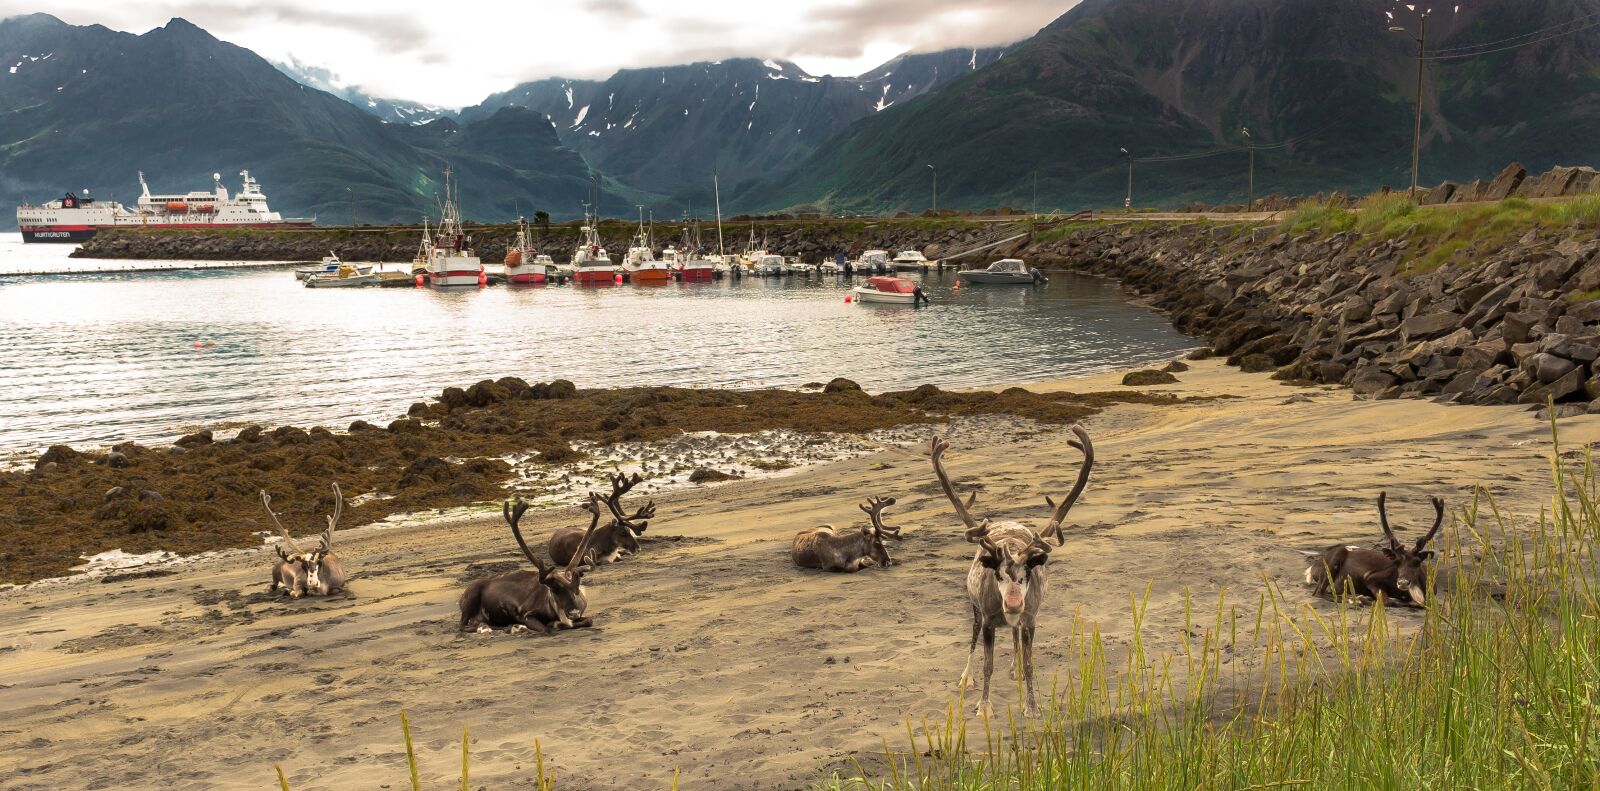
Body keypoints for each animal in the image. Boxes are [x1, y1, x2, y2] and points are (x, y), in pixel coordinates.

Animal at [459, 497, 600, 633]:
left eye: (577, 588)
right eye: (554, 590)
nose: (573, 613)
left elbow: (589, 620)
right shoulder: (526, 614)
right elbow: (545, 628)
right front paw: (550, 625)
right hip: (470, 599)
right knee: (463, 626)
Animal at [931, 424, 1094, 719]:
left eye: (1026, 573)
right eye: (998, 574)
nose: (1014, 602)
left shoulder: (1030, 619)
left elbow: (1029, 665)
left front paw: (1031, 706)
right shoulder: (988, 620)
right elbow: (987, 665)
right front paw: (984, 706)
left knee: (1016, 639)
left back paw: (1014, 668)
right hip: (975, 609)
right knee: (972, 638)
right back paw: (966, 677)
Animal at [1306, 492, 1444, 607]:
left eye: (1417, 562)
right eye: (1397, 562)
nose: (1403, 582)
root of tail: (1312, 568)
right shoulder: (1371, 578)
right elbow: (1387, 601)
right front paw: (1362, 598)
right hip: (1333, 562)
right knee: (1318, 592)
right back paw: (1354, 599)